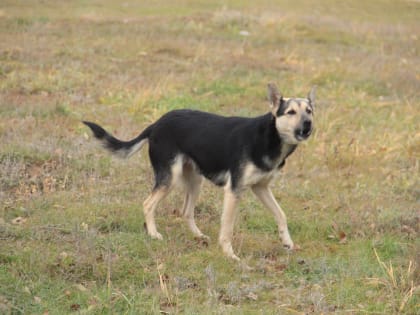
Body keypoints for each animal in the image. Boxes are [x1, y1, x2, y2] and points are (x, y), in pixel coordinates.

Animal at [83, 84, 316, 262]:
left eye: (309, 111)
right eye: (291, 112)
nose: (308, 124)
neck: (271, 137)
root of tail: (156, 124)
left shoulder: (261, 187)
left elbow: (281, 215)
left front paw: (288, 243)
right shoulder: (234, 191)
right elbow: (227, 228)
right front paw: (229, 255)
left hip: (195, 181)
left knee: (186, 211)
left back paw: (198, 236)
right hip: (170, 178)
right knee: (148, 204)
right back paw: (153, 234)